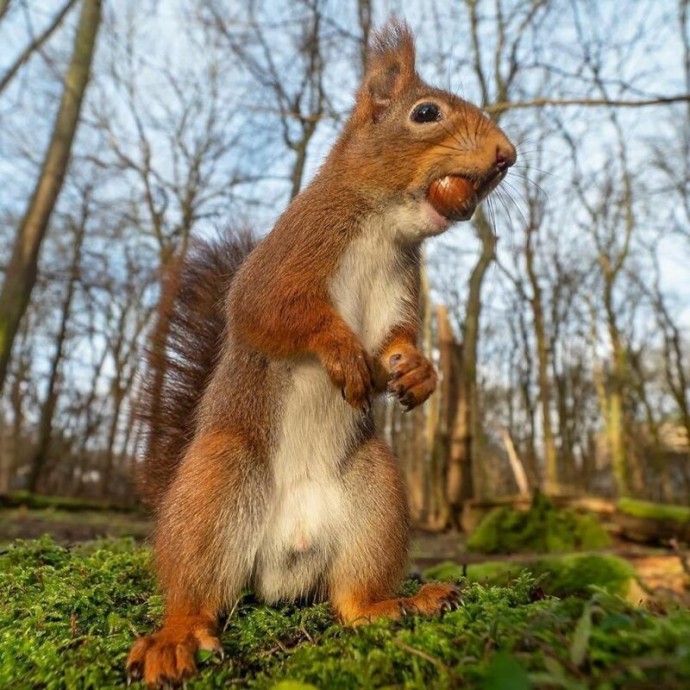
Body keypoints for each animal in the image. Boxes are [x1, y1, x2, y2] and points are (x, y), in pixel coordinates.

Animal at [126, 20, 512, 684]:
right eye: (426, 113)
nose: (507, 155)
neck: (383, 226)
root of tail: (285, 563)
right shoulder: (287, 257)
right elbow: (270, 313)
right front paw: (342, 352)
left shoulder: (398, 286)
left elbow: (395, 340)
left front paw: (419, 373)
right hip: (218, 479)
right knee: (196, 590)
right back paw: (175, 638)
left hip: (376, 492)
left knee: (350, 600)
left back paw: (400, 602)